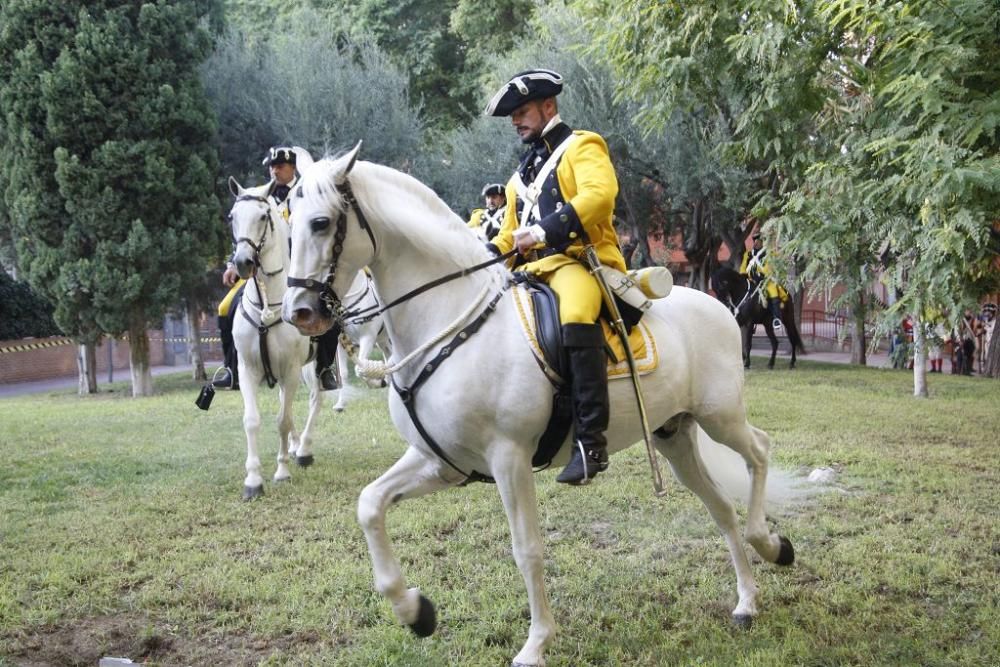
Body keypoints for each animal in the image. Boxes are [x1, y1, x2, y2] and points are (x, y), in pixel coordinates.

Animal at [228, 175, 322, 498]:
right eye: (232, 217)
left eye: (262, 217)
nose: (243, 262)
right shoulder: (247, 369)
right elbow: (252, 420)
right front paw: (253, 480)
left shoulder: (291, 369)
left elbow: (282, 420)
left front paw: (281, 472)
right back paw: (295, 447)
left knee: (314, 400)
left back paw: (303, 450)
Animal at [330, 268, 388, 412]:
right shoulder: (340, 343)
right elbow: (343, 373)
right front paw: (340, 404)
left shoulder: (367, 338)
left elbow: (360, 368)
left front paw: (377, 382)